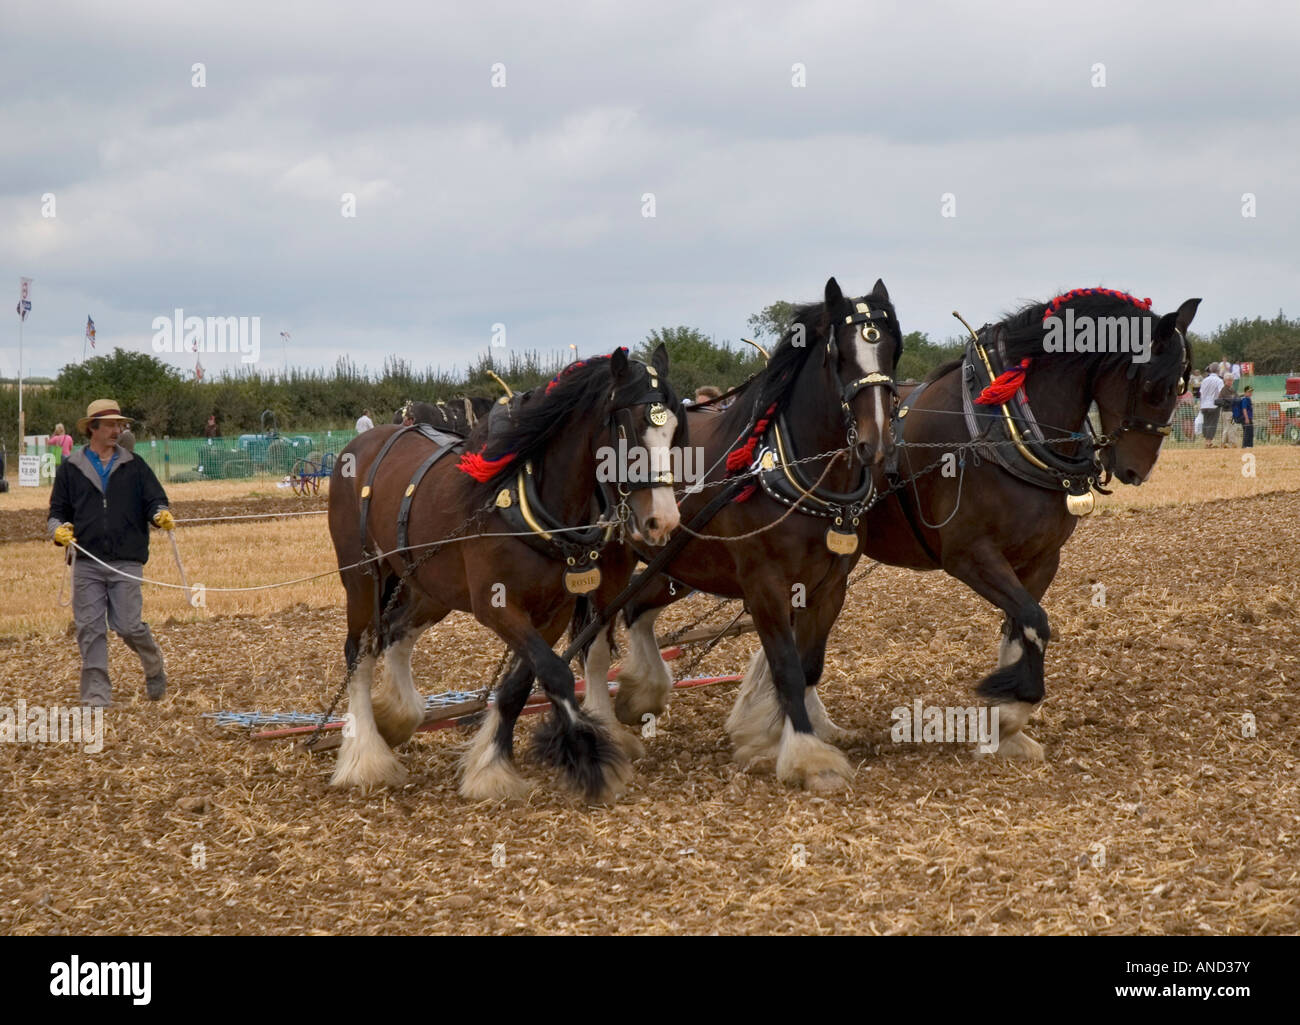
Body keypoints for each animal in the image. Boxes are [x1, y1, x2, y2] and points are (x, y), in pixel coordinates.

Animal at [327, 346, 687, 802]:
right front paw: (590, 758)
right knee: (360, 651)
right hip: (361, 575)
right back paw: (365, 758)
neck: (531, 502)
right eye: (629, 429)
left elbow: (520, 685)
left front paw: (491, 767)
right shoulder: (496, 606)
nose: (662, 520)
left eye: (673, 429)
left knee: (395, 633)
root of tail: (361, 443)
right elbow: (555, 673)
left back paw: (397, 716)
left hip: (429, 588)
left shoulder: (554, 612)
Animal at [608, 277, 904, 791]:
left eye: (890, 350)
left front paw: (782, 732)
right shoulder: (764, 586)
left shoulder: (830, 586)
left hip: (674, 567)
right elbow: (786, 667)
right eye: (841, 356)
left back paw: (640, 693)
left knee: (635, 610)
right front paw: (807, 757)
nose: (877, 443)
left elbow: (809, 664)